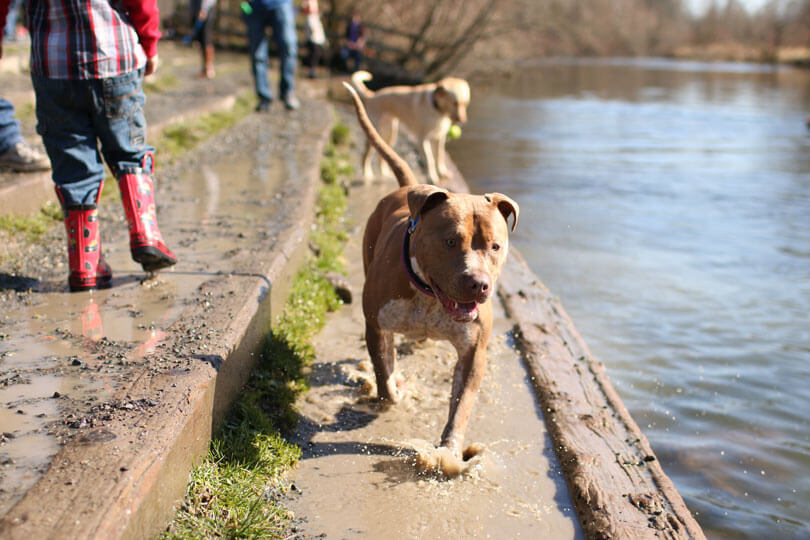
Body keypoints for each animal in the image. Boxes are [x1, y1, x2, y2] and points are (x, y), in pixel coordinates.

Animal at [340, 82, 516, 474]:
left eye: (495, 246)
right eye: (450, 241)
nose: (479, 284)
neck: (429, 297)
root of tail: (404, 188)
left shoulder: (474, 353)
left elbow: (461, 406)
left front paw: (449, 452)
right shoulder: (376, 326)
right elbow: (384, 372)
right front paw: (394, 392)